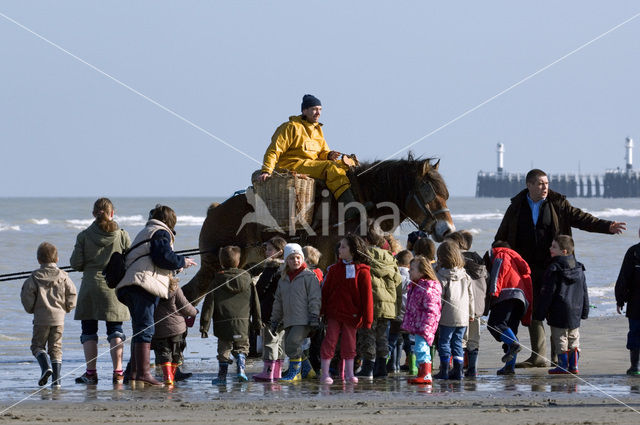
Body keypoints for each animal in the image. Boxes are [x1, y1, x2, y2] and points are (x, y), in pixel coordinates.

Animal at [181, 154, 456, 300]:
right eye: (429, 193)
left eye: (446, 194)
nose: (448, 230)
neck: (360, 202)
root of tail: (215, 210)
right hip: (215, 266)